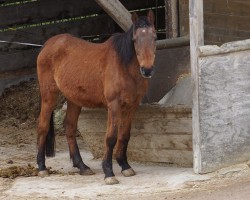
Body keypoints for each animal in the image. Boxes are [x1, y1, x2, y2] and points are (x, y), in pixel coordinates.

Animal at [36, 10, 156, 185]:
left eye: (155, 37)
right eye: (135, 40)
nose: (147, 70)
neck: (124, 66)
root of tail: (47, 45)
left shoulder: (132, 106)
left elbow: (125, 135)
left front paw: (125, 166)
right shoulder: (114, 105)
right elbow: (111, 137)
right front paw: (109, 172)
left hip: (74, 99)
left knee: (70, 127)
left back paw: (82, 166)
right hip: (49, 95)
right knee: (43, 126)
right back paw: (41, 167)